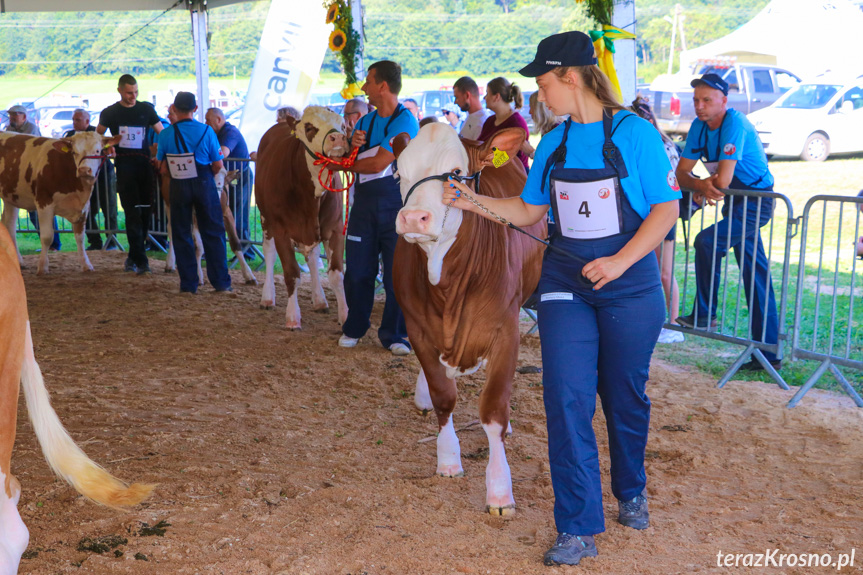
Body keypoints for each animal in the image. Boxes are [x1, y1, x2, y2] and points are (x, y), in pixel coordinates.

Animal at [0, 132, 121, 276]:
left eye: (97, 151)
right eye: (74, 152)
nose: (84, 170)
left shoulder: (84, 207)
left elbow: (80, 237)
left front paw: (86, 265)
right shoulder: (44, 202)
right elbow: (47, 237)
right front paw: (43, 267)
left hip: (11, 196)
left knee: (9, 225)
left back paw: (18, 262)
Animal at [255, 106, 350, 330]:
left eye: (343, 125)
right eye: (309, 128)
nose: (338, 137)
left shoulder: (334, 228)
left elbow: (336, 274)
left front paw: (345, 317)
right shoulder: (281, 229)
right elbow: (291, 273)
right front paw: (292, 317)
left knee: (313, 257)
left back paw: (320, 300)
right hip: (265, 220)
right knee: (269, 251)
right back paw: (267, 298)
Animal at [394, 125, 544, 516]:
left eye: (456, 174)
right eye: (399, 174)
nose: (413, 218)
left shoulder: (506, 330)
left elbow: (493, 410)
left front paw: (500, 491)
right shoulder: (417, 326)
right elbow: (443, 396)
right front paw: (448, 459)